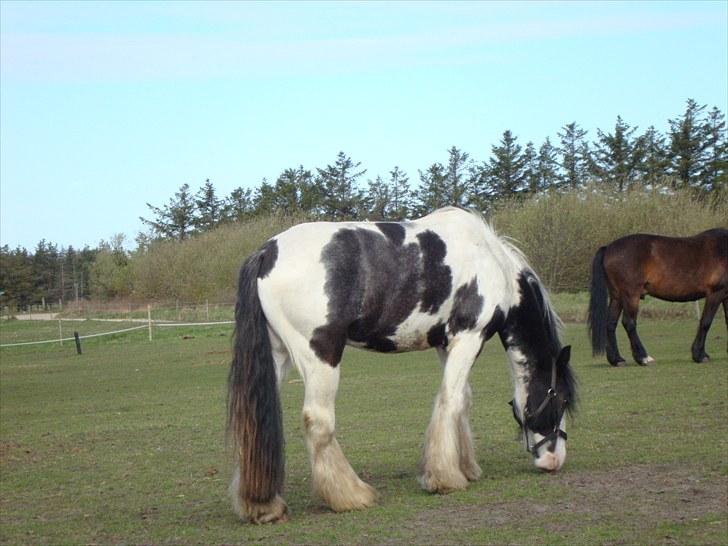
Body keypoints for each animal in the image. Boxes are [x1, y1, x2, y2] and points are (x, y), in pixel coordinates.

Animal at [228, 206, 576, 520]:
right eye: (560, 399)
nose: (555, 460)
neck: (491, 261)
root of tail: (267, 252)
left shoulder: (446, 344)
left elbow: (462, 400)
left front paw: (465, 467)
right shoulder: (468, 337)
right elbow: (450, 399)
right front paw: (445, 478)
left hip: (277, 356)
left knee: (253, 424)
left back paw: (263, 506)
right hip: (320, 356)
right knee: (318, 422)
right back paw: (351, 496)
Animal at [588, 227, 724, 364]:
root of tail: (608, 248)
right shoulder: (716, 293)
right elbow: (706, 322)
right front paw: (700, 355)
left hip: (617, 297)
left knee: (611, 323)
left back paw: (617, 359)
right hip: (630, 296)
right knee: (629, 323)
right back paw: (643, 357)